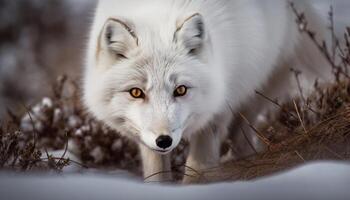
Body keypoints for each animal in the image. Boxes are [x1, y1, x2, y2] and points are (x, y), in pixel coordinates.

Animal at [83, 0, 330, 181]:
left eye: (181, 90)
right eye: (136, 93)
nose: (164, 141)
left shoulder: (218, 108)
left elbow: (198, 165)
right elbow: (155, 170)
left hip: (258, 83)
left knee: (242, 134)